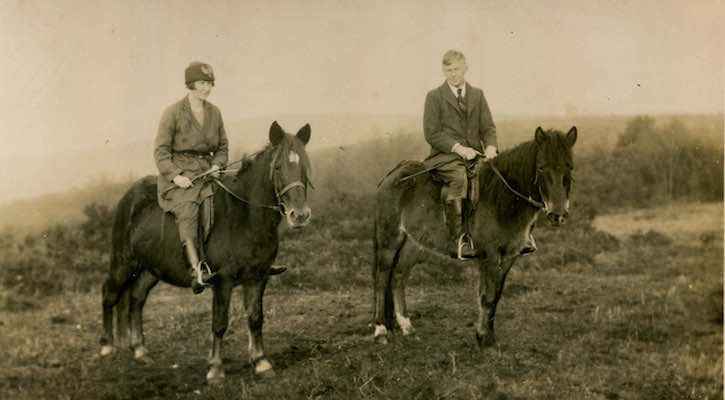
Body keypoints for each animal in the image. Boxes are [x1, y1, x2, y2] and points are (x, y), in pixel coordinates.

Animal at [98, 121, 312, 382]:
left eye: (304, 165)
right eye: (279, 167)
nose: (299, 215)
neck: (245, 216)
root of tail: (128, 197)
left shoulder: (258, 277)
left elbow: (255, 318)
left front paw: (261, 362)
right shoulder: (223, 281)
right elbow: (219, 323)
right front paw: (215, 369)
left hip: (149, 269)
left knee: (136, 300)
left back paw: (139, 350)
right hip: (123, 263)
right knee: (109, 294)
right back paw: (107, 347)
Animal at [376, 127, 576, 346]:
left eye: (570, 167)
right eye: (541, 168)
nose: (558, 215)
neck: (502, 199)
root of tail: (394, 173)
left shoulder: (509, 256)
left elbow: (495, 295)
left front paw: (487, 336)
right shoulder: (490, 255)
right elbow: (486, 296)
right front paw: (484, 339)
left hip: (413, 244)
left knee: (398, 276)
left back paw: (406, 326)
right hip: (389, 239)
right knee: (382, 277)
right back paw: (381, 330)